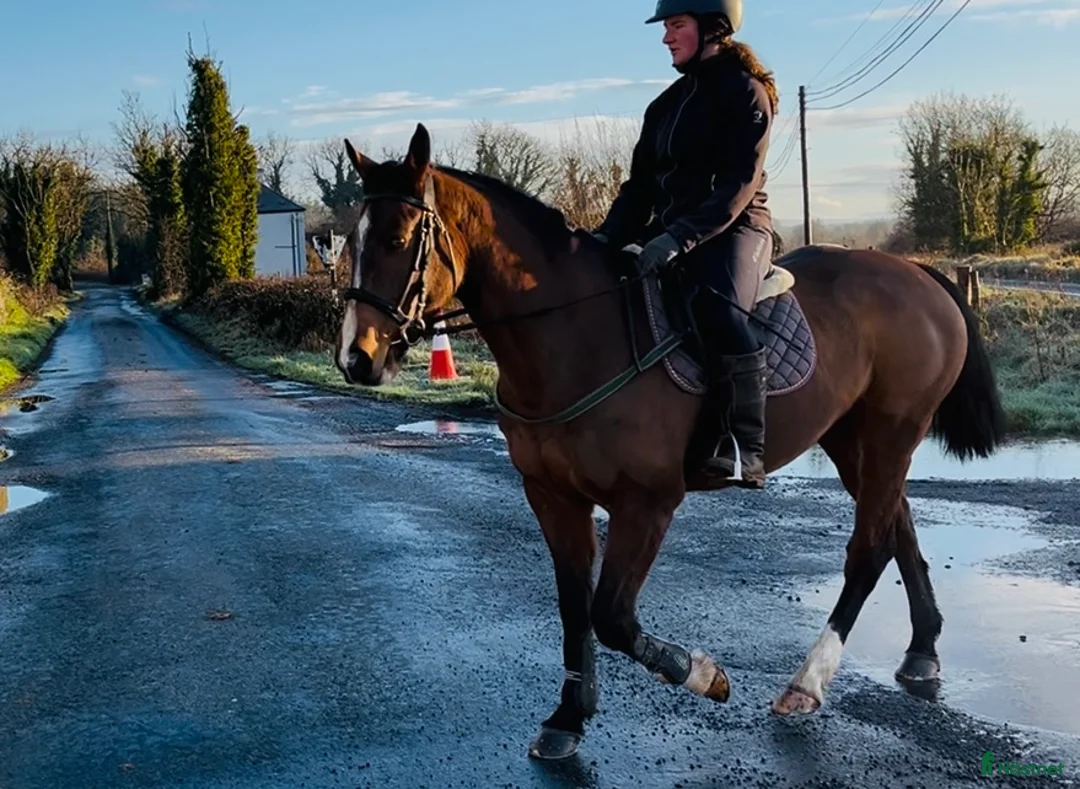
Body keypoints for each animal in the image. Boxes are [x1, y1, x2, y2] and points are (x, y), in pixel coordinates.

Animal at [333, 123, 1006, 761]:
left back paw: (806, 683)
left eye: (398, 240)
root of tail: (917, 274)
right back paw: (922, 649)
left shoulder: (647, 503)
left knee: (868, 549)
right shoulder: (552, 496)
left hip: (893, 431)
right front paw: (567, 720)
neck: (576, 334)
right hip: (853, 440)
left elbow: (610, 616)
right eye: (349, 243)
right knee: (898, 528)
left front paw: (703, 676)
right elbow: (574, 605)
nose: (356, 358)